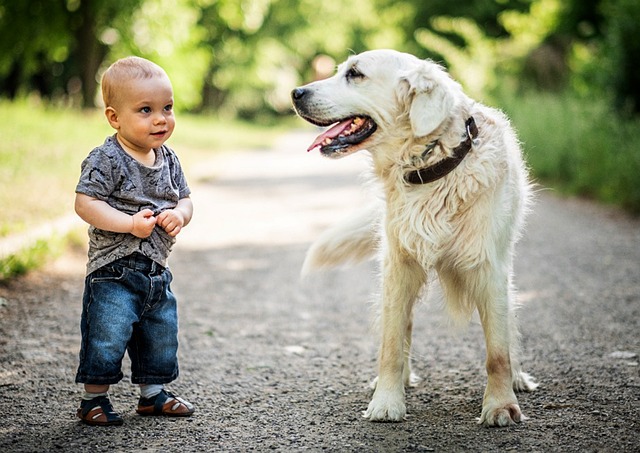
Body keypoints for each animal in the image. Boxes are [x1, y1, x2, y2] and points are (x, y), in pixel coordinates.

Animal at [292, 49, 536, 424]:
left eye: (355, 74)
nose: (295, 93)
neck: (433, 167)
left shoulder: (489, 268)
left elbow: (497, 351)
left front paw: (499, 405)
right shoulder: (398, 265)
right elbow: (391, 344)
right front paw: (386, 401)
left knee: (508, 326)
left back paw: (518, 377)